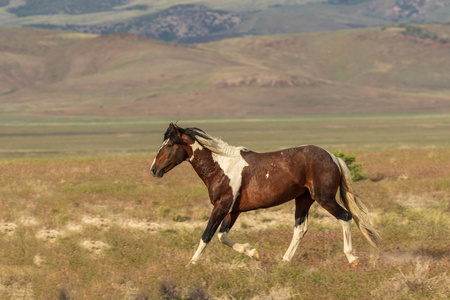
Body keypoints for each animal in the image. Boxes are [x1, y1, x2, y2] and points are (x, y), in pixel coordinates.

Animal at [151, 123, 380, 266]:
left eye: (169, 145)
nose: (154, 169)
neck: (221, 166)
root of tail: (333, 157)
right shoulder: (233, 211)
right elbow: (222, 236)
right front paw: (253, 252)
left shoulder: (221, 206)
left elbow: (206, 236)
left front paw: (191, 264)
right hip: (303, 199)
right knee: (300, 228)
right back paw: (285, 261)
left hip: (324, 198)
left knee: (345, 217)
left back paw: (352, 258)